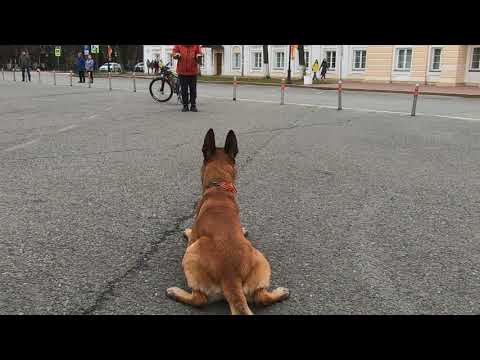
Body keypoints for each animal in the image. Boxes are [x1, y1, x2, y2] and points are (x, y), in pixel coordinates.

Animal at [167, 129, 288, 316]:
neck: (219, 188)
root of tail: (230, 276)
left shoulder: (194, 236)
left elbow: (191, 232)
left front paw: (187, 231)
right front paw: (243, 229)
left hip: (191, 252)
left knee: (199, 300)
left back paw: (175, 292)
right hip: (261, 259)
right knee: (262, 297)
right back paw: (280, 293)